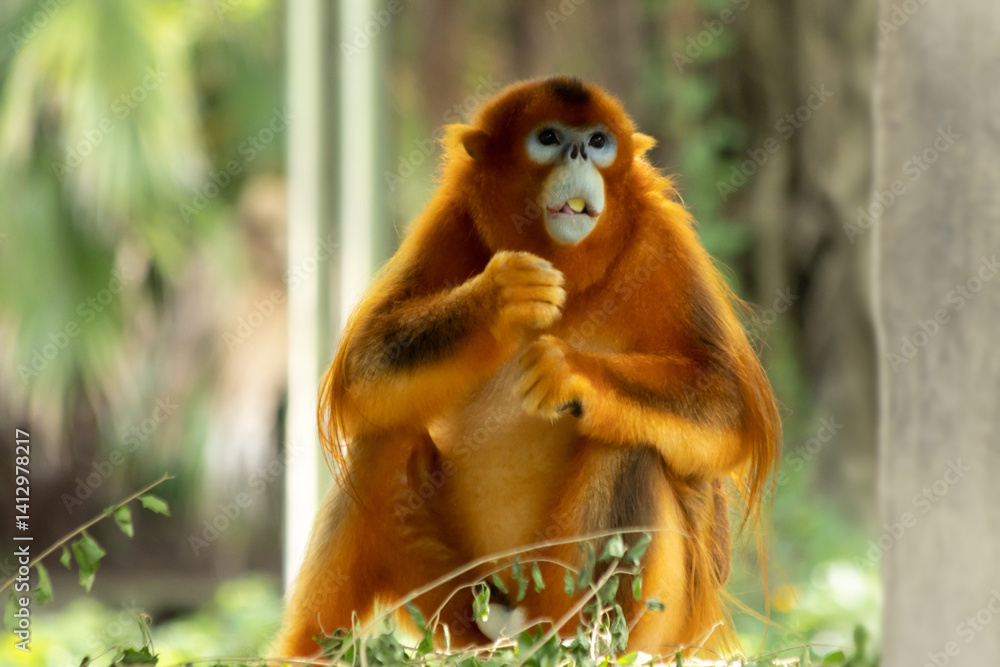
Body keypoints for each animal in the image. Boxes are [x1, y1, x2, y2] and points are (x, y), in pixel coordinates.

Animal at [274, 76, 779, 660]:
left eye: (599, 141)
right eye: (550, 137)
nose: (579, 152)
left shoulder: (663, 242)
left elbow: (727, 405)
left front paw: (570, 373)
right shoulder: (452, 221)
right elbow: (365, 364)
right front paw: (500, 297)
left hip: (646, 622)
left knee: (629, 446)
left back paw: (590, 647)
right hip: (459, 613)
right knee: (383, 438)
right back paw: (306, 651)